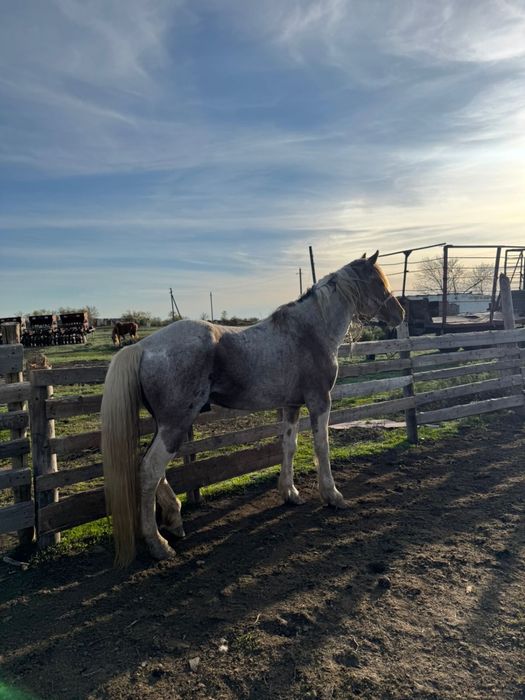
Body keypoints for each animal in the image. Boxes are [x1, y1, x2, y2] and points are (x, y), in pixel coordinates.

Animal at [101, 251, 404, 565]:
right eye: (378, 283)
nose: (400, 314)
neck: (310, 331)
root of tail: (142, 347)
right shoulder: (320, 401)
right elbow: (322, 446)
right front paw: (332, 495)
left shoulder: (291, 405)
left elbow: (289, 446)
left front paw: (289, 493)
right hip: (175, 424)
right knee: (150, 470)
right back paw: (159, 544)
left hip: (166, 426)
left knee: (152, 470)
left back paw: (174, 519)